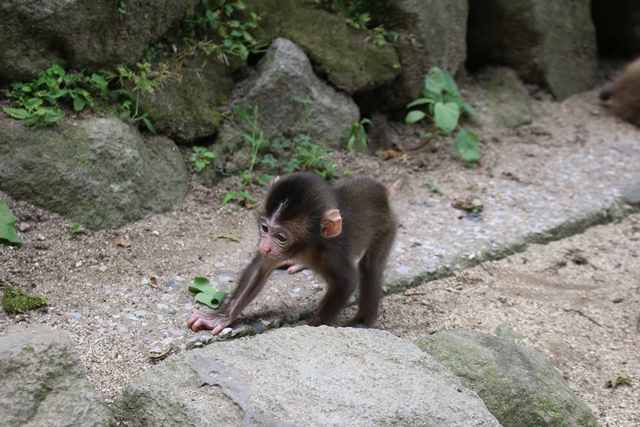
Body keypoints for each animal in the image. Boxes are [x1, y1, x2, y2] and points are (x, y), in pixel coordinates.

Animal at [188, 172, 402, 336]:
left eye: (281, 237)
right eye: (264, 228)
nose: (265, 247)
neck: (308, 246)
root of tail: (384, 193)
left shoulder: (333, 253)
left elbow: (347, 283)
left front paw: (313, 325)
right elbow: (259, 271)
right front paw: (220, 318)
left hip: (388, 226)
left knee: (370, 266)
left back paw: (363, 321)